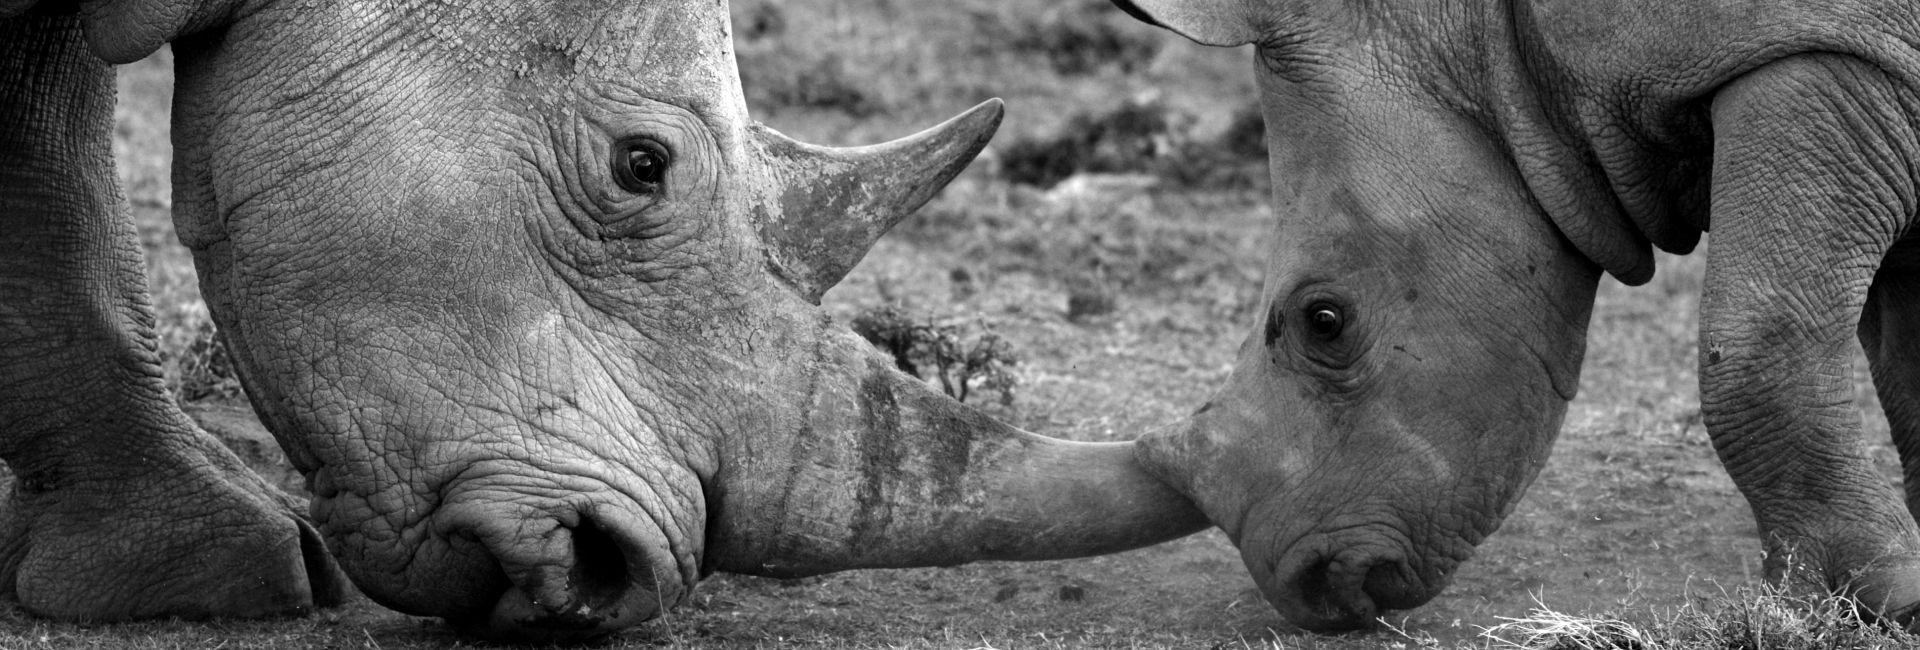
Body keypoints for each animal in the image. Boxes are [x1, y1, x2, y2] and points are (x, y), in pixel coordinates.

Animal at [1109, 0, 1920, 632]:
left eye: (1324, 321)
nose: (1303, 585)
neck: (1484, 47)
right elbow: (1904, 364)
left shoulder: (1818, 51)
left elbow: (1758, 344)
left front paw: (1882, 602)